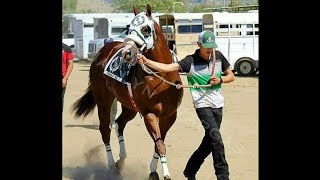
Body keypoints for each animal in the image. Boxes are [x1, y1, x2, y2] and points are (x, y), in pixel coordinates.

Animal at [71, 4, 184, 180]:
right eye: (129, 28)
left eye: (145, 28)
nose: (127, 52)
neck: (161, 74)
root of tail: (101, 53)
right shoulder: (149, 114)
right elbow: (159, 144)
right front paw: (165, 174)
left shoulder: (170, 115)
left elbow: (159, 142)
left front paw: (153, 170)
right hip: (103, 101)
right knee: (105, 130)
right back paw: (112, 166)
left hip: (129, 106)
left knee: (119, 123)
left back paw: (121, 160)